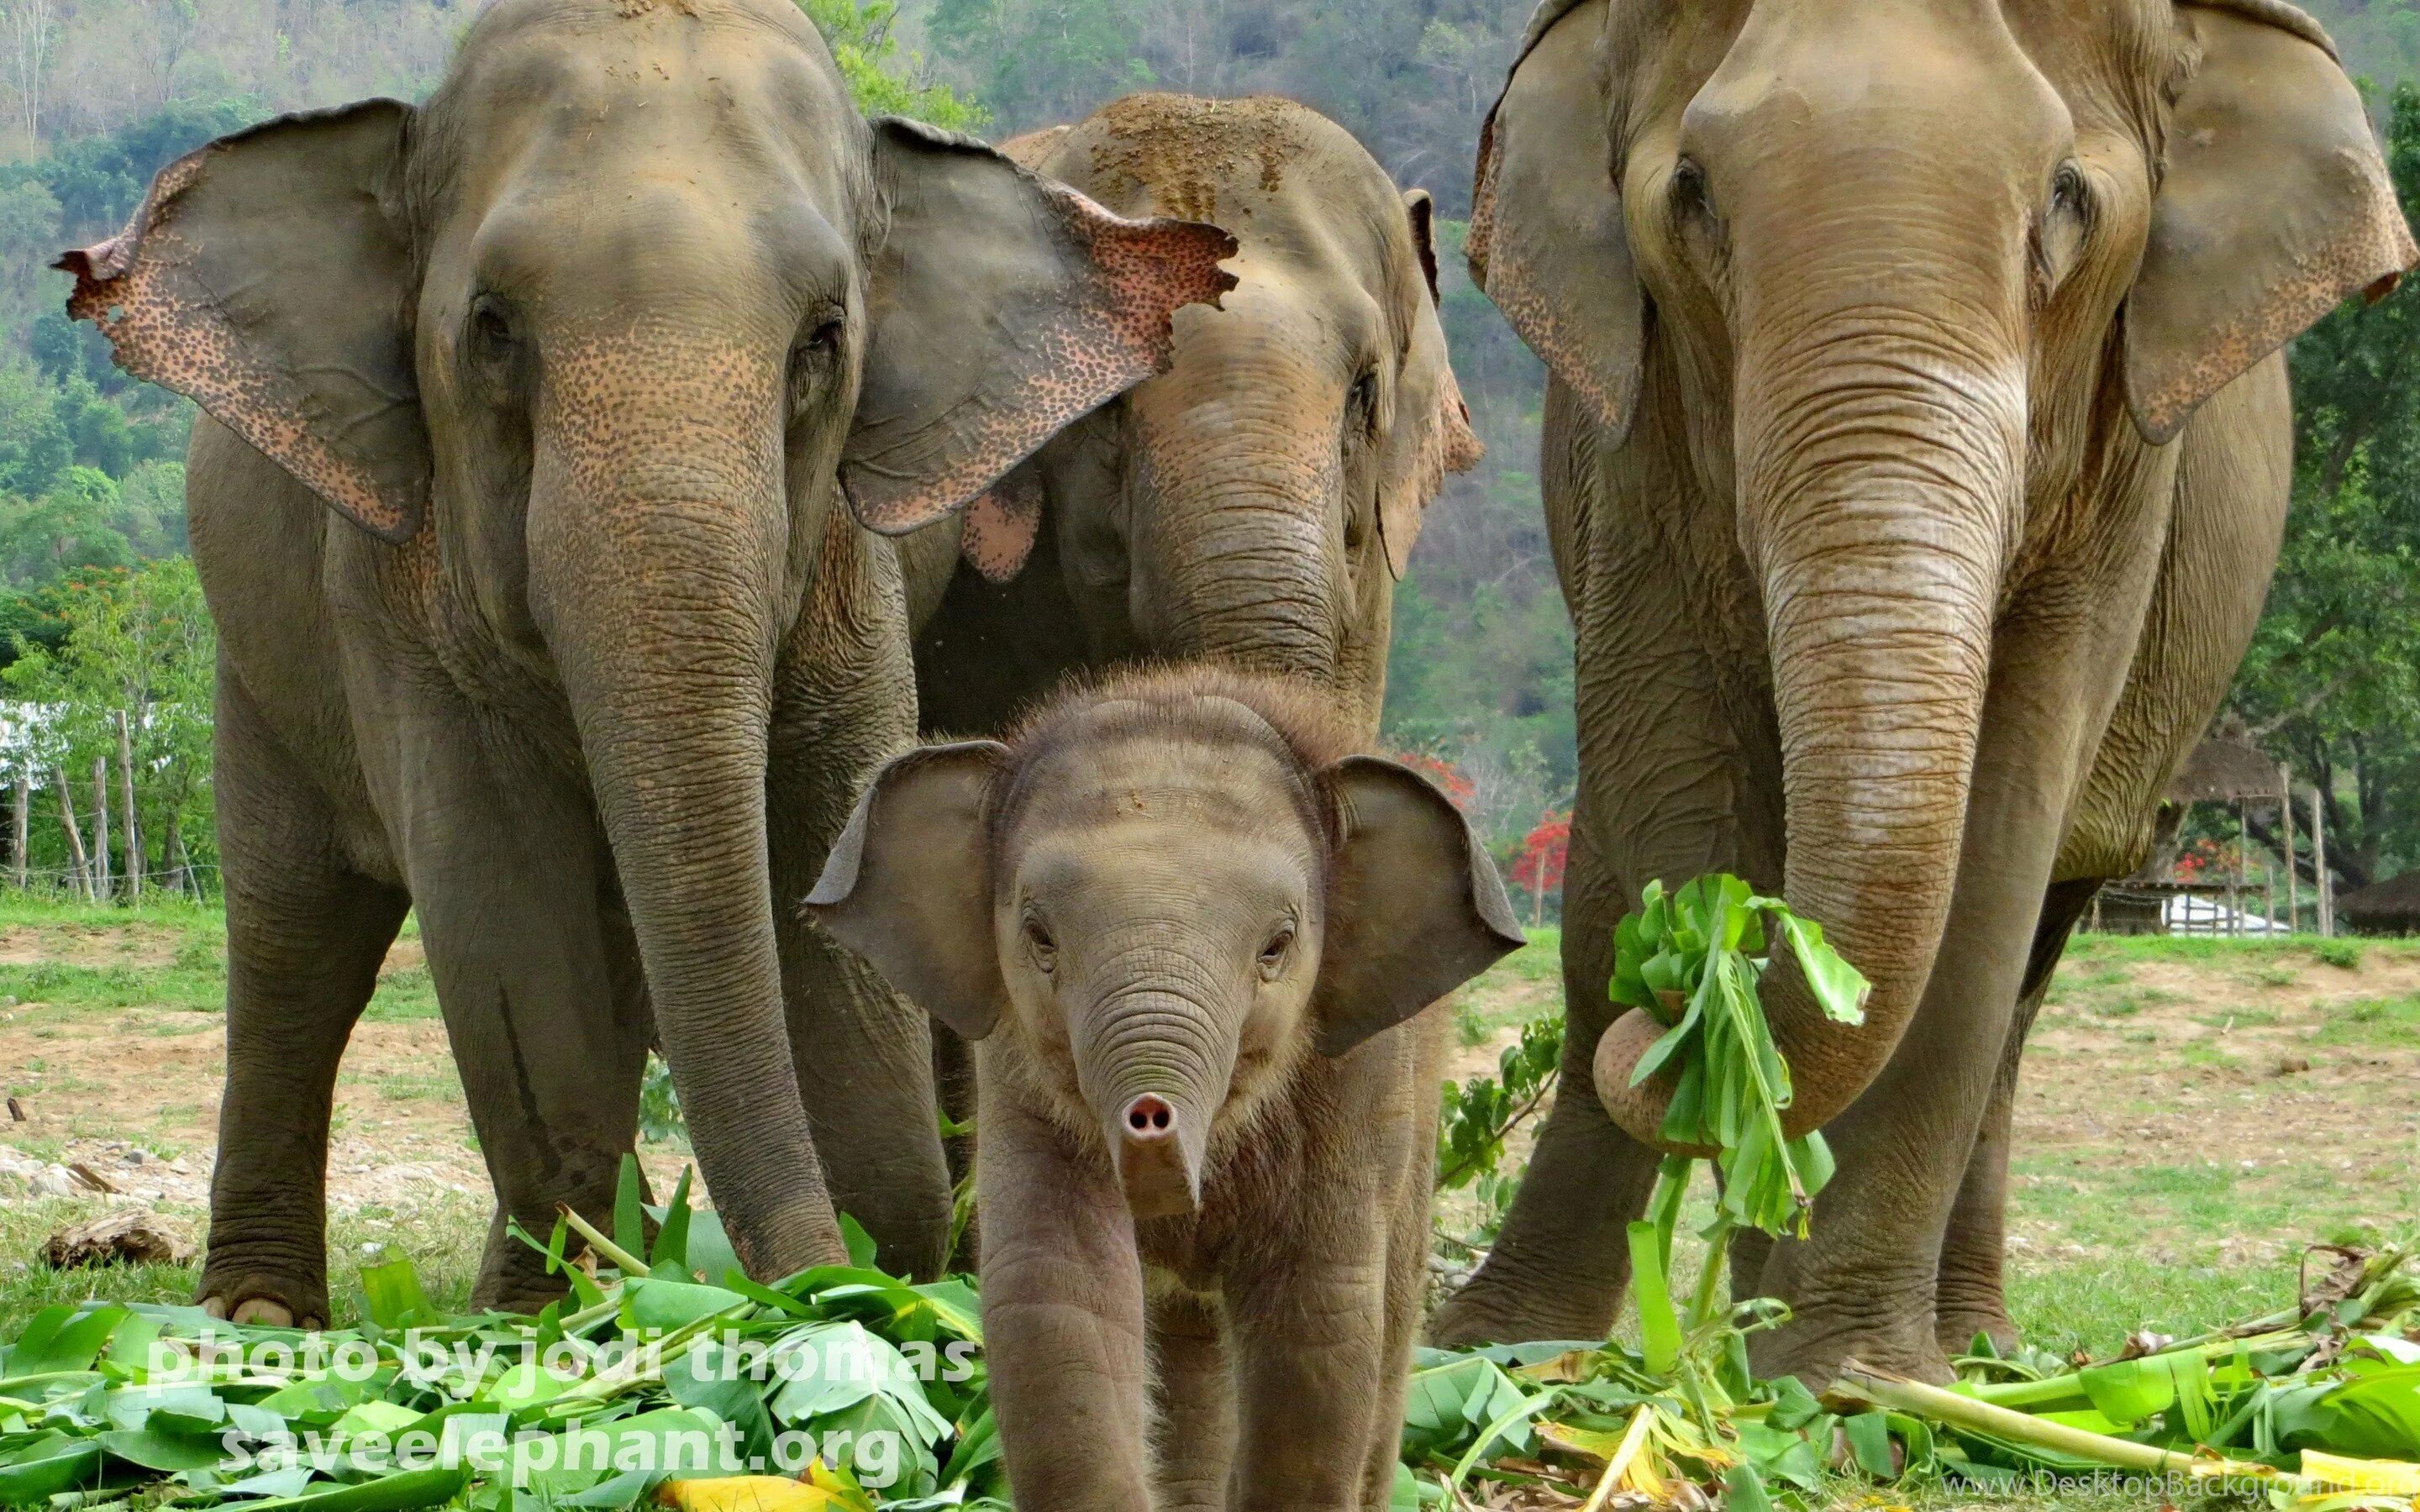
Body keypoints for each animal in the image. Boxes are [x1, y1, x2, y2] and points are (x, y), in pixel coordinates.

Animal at [61, 0, 1229, 1315]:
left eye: (825, 339)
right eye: (493, 330)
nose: (823, 1285)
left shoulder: (850, 568)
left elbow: (831, 834)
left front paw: (860, 1283)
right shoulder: (392, 585)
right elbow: (502, 900)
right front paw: (584, 1311)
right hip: (258, 667)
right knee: (295, 940)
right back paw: (279, 1310)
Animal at [823, 672, 1519, 1509]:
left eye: (1277, 946)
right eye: (1040, 938)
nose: (1149, 1118)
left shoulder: (1356, 1078)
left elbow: (1317, 1319)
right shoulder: (1017, 1071)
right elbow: (1057, 1297)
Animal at [1423, 0, 2410, 1383]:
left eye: (2068, 199)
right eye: (1691, 193)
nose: (1664, 1002)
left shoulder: (2119, 476)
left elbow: (1999, 837)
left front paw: (1849, 1380)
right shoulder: (1631, 441)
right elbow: (1676, 774)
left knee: (2037, 952)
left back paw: (1972, 1352)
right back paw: (1523, 1346)